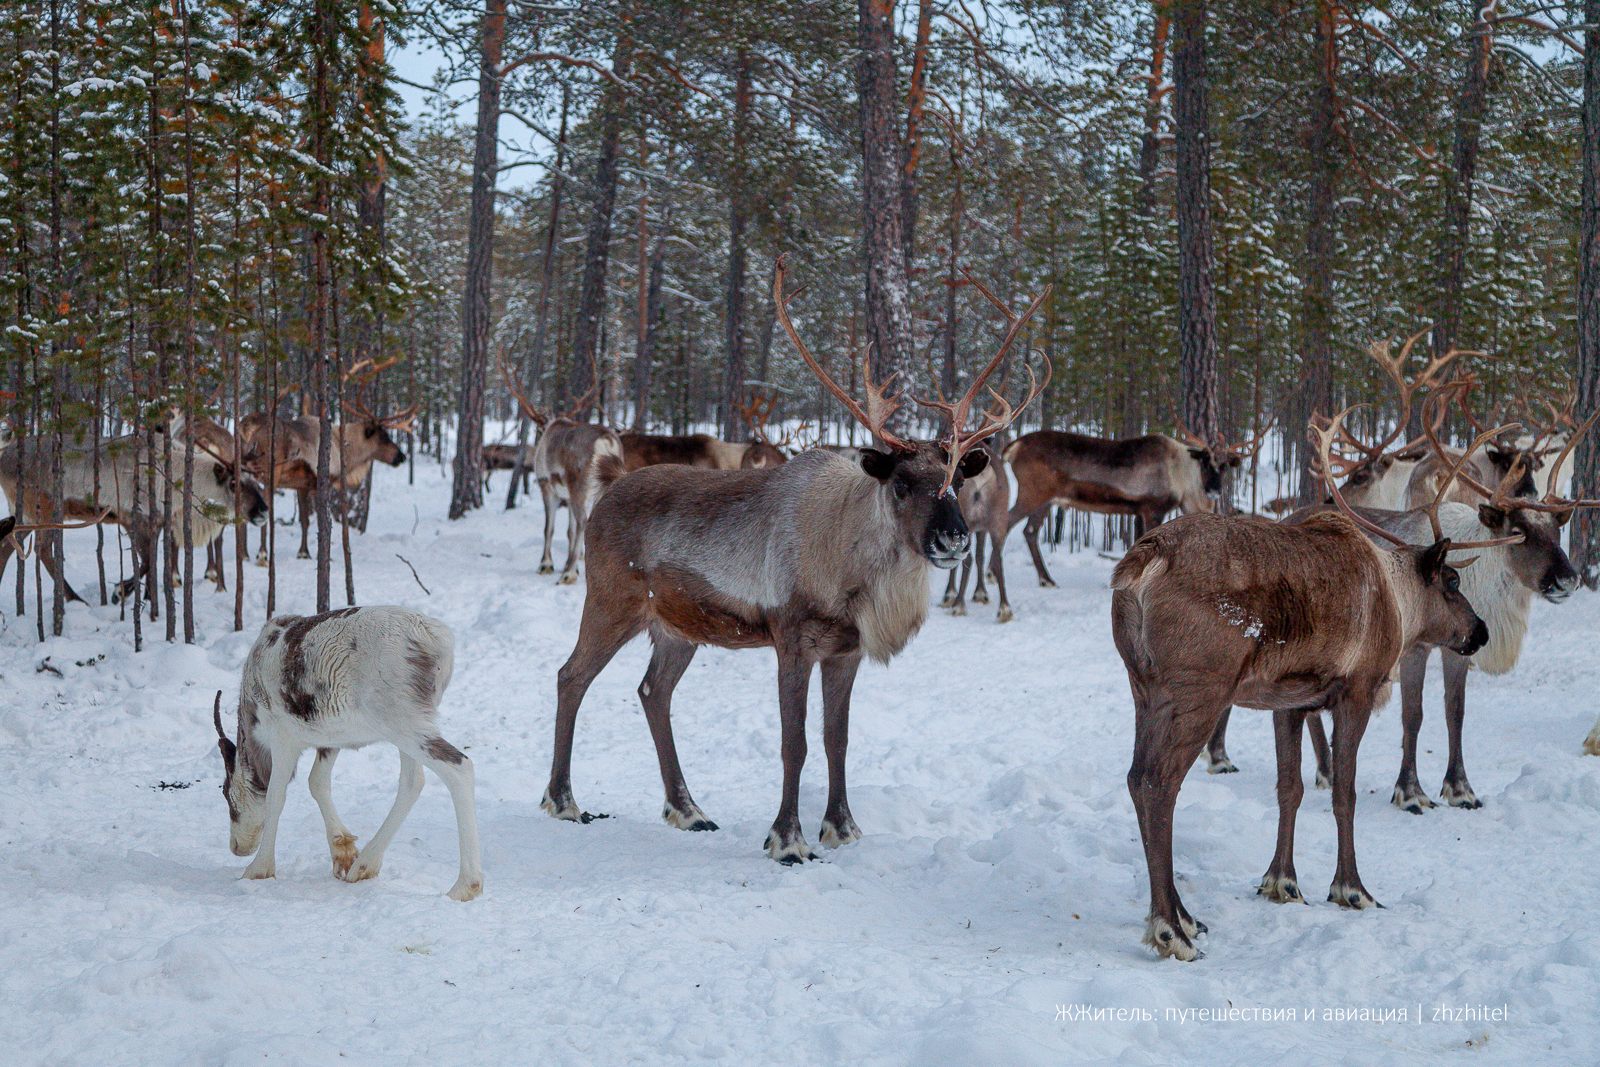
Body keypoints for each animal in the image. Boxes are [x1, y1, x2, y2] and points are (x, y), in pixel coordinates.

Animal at [216, 607, 483, 902]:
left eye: (225, 792)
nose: (236, 846)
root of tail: (437, 642)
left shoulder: (283, 736)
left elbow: (276, 796)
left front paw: (258, 869)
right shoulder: (330, 739)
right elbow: (317, 782)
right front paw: (343, 853)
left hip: (402, 721)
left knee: (459, 767)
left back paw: (465, 886)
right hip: (408, 726)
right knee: (413, 781)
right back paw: (364, 865)